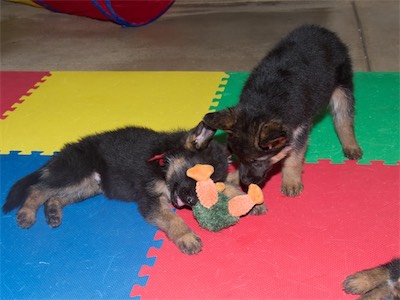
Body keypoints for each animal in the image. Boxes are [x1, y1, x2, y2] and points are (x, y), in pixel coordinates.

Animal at [3, 125, 247, 254]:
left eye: (213, 184)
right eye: (197, 174)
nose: (193, 202)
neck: (163, 161)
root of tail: (61, 154)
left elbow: (230, 184)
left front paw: (241, 195)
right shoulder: (150, 198)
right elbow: (172, 218)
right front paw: (186, 236)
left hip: (88, 185)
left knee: (53, 196)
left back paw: (53, 212)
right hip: (75, 173)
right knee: (38, 189)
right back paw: (26, 213)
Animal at [188, 24, 362, 197]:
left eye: (256, 161)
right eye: (239, 158)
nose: (245, 182)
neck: (263, 104)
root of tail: (321, 30)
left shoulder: (298, 130)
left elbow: (293, 158)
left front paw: (291, 181)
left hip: (342, 86)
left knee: (344, 119)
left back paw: (351, 145)